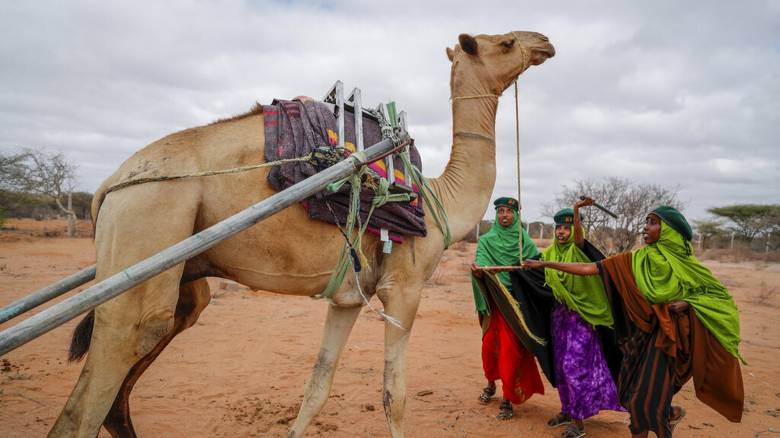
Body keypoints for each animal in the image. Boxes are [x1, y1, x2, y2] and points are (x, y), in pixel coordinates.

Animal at [50, 30, 556, 438]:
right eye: (504, 43)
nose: (545, 41)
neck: (437, 200)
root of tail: (111, 184)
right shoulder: (404, 288)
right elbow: (394, 396)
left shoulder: (347, 297)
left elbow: (317, 386)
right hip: (150, 216)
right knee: (103, 379)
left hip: (177, 274)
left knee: (130, 378)